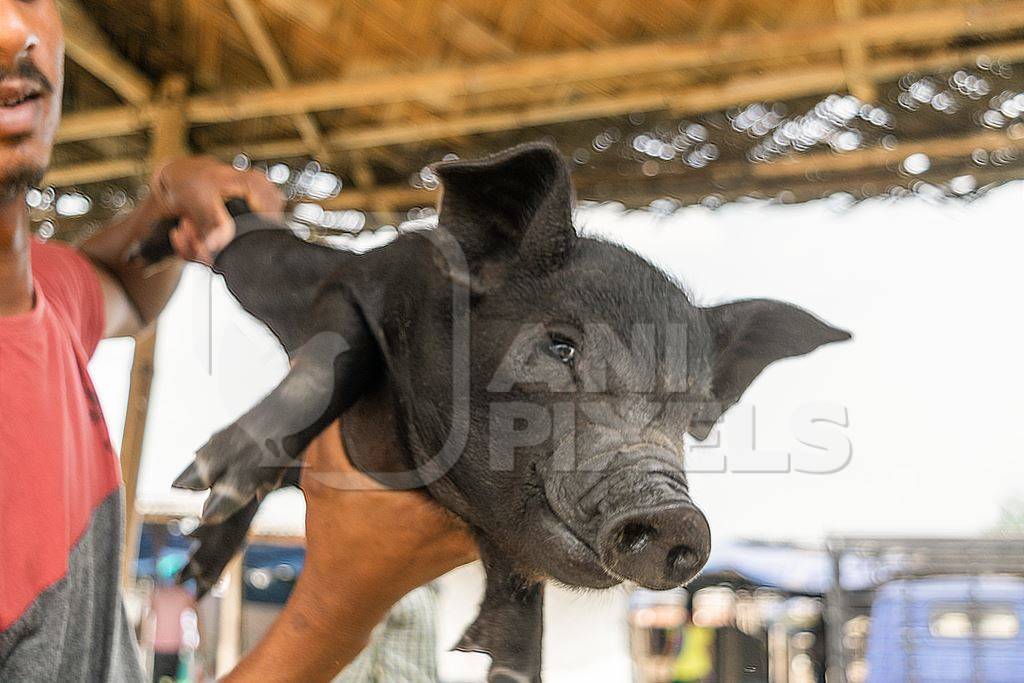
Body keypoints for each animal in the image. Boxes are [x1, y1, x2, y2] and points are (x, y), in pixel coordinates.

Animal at [159, 141, 847, 679]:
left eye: (692, 416)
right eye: (560, 346)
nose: (678, 516)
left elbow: (519, 594)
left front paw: (510, 664)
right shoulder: (355, 284)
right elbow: (336, 350)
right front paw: (201, 479)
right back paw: (202, 544)